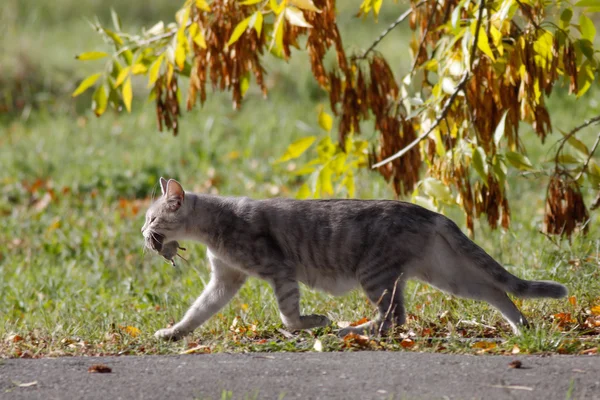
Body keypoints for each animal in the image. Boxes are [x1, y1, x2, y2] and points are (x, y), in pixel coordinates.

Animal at [142, 178, 568, 340]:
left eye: (152, 218)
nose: (144, 236)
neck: (215, 226)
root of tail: (426, 212)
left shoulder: (279, 271)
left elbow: (289, 314)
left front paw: (312, 323)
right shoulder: (224, 281)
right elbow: (197, 312)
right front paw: (172, 333)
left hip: (375, 274)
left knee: (391, 318)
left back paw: (349, 330)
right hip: (443, 275)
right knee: (494, 292)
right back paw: (521, 326)